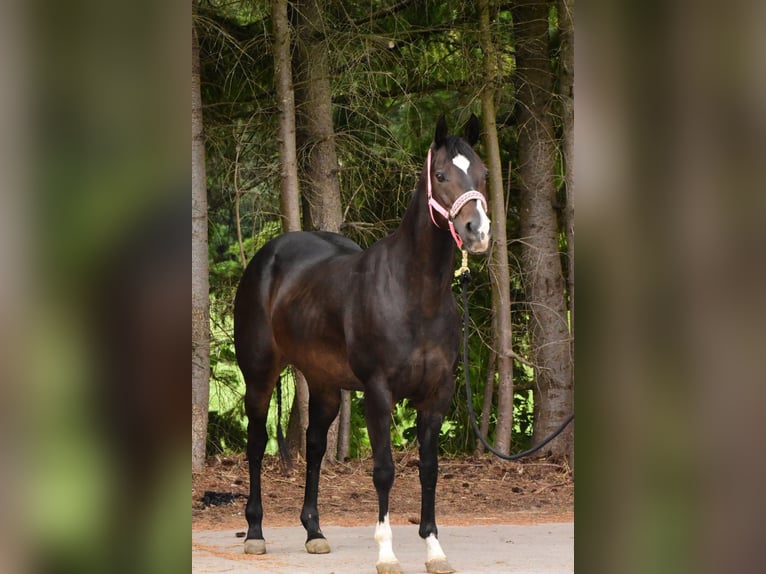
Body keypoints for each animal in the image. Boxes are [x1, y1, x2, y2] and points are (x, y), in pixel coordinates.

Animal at [233, 114, 490, 574]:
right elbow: (384, 470)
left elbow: (429, 469)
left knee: (315, 446)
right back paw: (256, 533)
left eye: (482, 175)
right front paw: (386, 553)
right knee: (257, 444)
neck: (414, 293)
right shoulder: (378, 392)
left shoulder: (437, 394)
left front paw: (434, 550)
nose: (477, 232)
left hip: (324, 385)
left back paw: (314, 532)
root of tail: (267, 257)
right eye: (441, 175)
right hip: (259, 376)